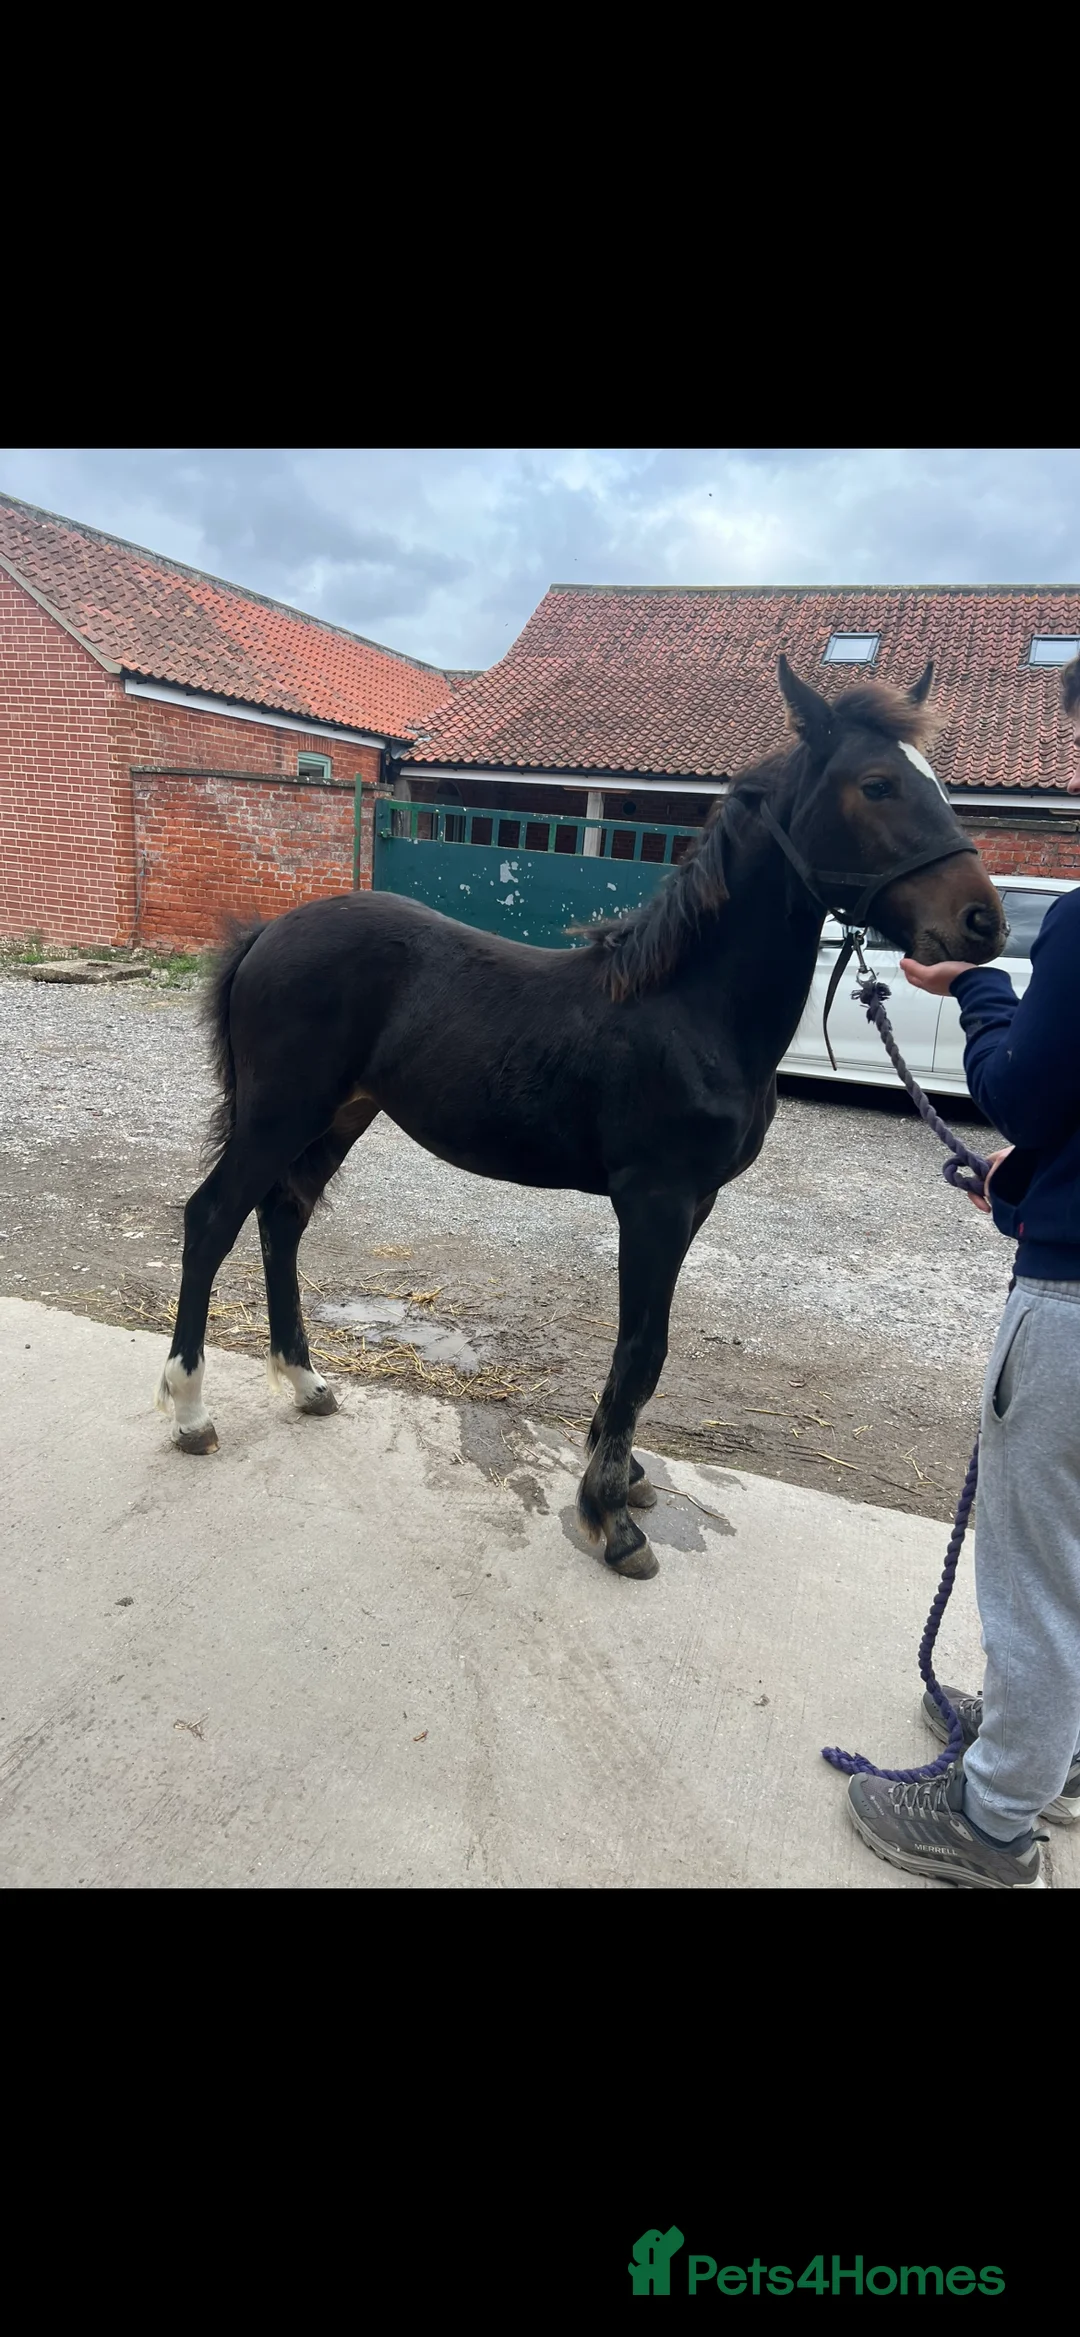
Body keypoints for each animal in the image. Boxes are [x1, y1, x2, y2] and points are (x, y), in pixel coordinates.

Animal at [156, 656, 1005, 1580]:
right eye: (877, 784)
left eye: (937, 782)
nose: (983, 922)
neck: (692, 1008)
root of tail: (270, 931)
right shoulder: (655, 1199)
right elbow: (642, 1348)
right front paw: (612, 1518)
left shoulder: (694, 1203)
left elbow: (644, 1345)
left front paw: (621, 1475)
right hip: (281, 1112)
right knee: (212, 1218)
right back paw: (190, 1412)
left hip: (341, 1115)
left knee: (282, 1217)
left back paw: (307, 1383)